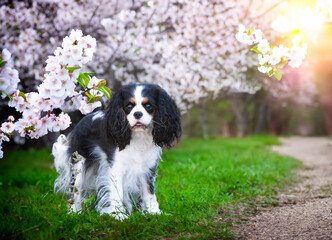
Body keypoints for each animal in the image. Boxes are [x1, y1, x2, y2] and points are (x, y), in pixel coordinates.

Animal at [52, 83, 182, 220]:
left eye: (148, 106)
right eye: (129, 106)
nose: (137, 114)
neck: (138, 137)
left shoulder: (147, 169)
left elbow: (149, 191)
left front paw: (154, 212)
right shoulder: (115, 168)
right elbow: (116, 191)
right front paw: (118, 215)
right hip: (79, 165)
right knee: (76, 190)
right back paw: (74, 212)